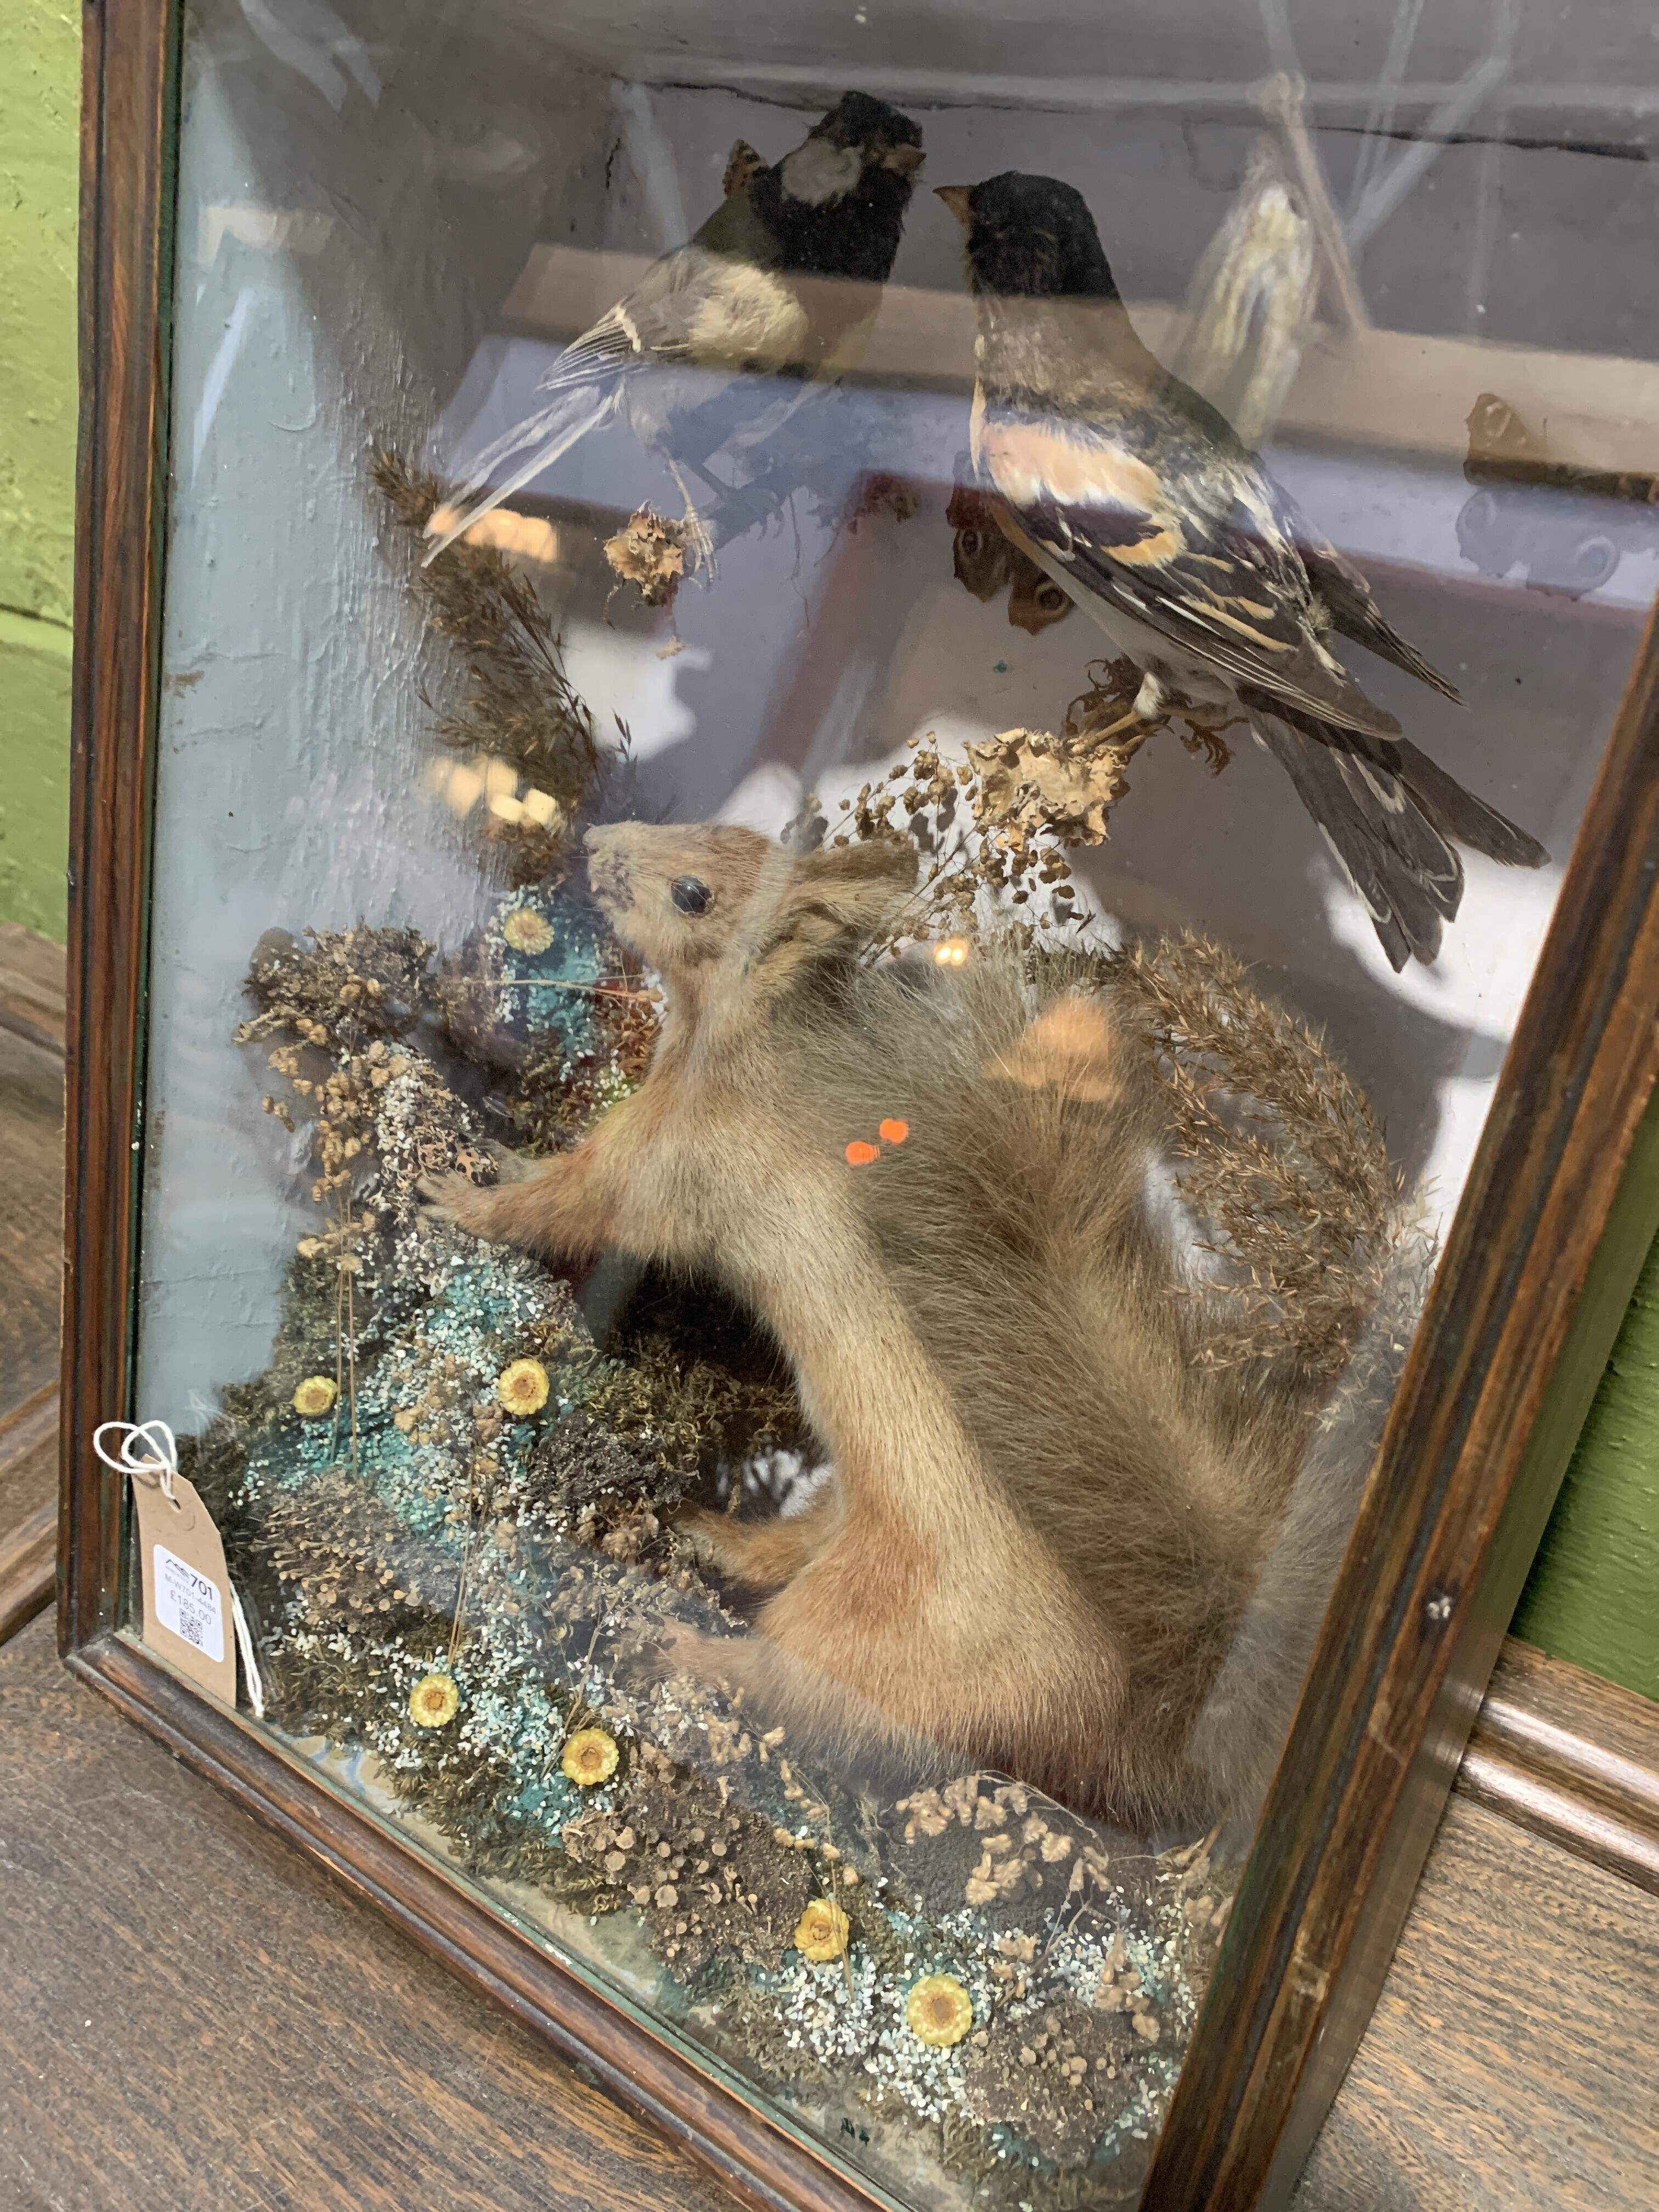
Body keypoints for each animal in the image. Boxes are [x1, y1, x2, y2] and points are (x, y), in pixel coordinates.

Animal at [422, 820, 1351, 1834]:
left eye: (693, 893)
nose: (594, 841)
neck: (743, 1038)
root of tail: (1120, 1711)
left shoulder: (664, 1164)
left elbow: (562, 1204)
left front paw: (461, 1193)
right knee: (789, 1557)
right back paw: (717, 1539)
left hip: (859, 1626)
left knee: (783, 1686)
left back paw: (673, 1639)